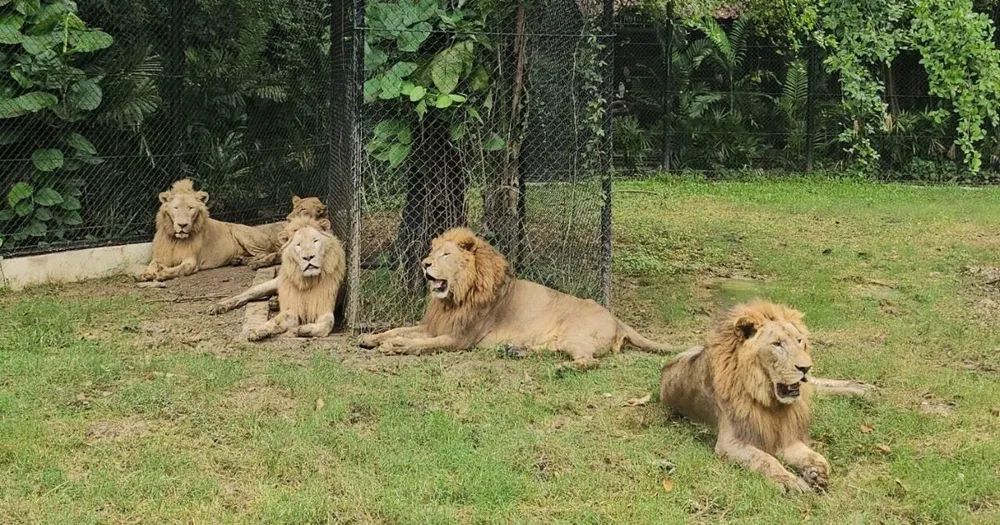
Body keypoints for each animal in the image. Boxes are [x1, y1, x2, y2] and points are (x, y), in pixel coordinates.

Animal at [137, 179, 282, 282]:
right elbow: (152, 264)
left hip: (242, 233)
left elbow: (181, 268)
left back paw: (252, 262)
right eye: (176, 208)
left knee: (265, 253)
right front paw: (146, 274)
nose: (182, 225)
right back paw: (238, 260)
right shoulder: (161, 256)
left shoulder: (192, 261)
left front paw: (163, 273)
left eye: (190, 208)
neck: (176, 239)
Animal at [358, 227, 677, 368]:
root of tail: (617, 318)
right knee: (552, 350)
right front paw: (372, 338)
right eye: (432, 252)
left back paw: (562, 368)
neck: (454, 298)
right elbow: (399, 328)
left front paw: (395, 346)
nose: (424, 263)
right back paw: (516, 351)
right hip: (562, 339)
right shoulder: (434, 324)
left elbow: (421, 344)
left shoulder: (459, 339)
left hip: (577, 334)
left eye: (445, 255)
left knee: (589, 361)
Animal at [659, 300, 875, 494]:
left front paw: (816, 472)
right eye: (777, 344)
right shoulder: (730, 442)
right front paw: (791, 482)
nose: (806, 367)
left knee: (816, 384)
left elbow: (816, 457)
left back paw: (863, 389)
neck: (769, 399)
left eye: (799, 341)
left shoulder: (786, 435)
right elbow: (766, 460)